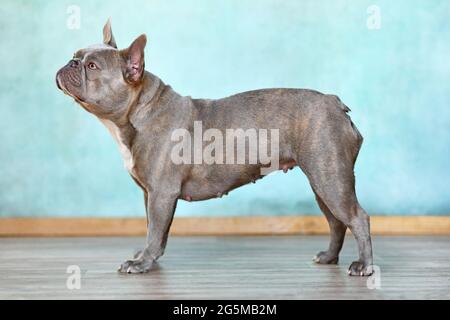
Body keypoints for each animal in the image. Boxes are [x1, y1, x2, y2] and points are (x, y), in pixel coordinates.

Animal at [55, 19, 372, 276]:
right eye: (76, 56)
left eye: (92, 66)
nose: (70, 63)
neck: (140, 111)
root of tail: (334, 103)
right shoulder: (149, 194)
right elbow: (152, 228)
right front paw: (145, 256)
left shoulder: (161, 194)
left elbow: (155, 231)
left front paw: (143, 262)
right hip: (323, 183)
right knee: (336, 222)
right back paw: (329, 257)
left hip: (330, 179)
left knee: (357, 218)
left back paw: (364, 266)